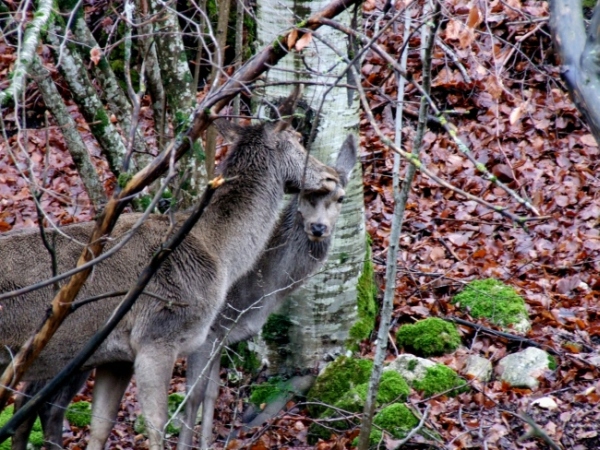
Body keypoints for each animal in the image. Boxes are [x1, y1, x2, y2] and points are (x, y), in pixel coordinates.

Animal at [0, 89, 340, 448]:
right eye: (298, 139)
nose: (331, 176)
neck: (219, 254)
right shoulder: (157, 336)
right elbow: (158, 424)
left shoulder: (117, 357)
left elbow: (101, 427)